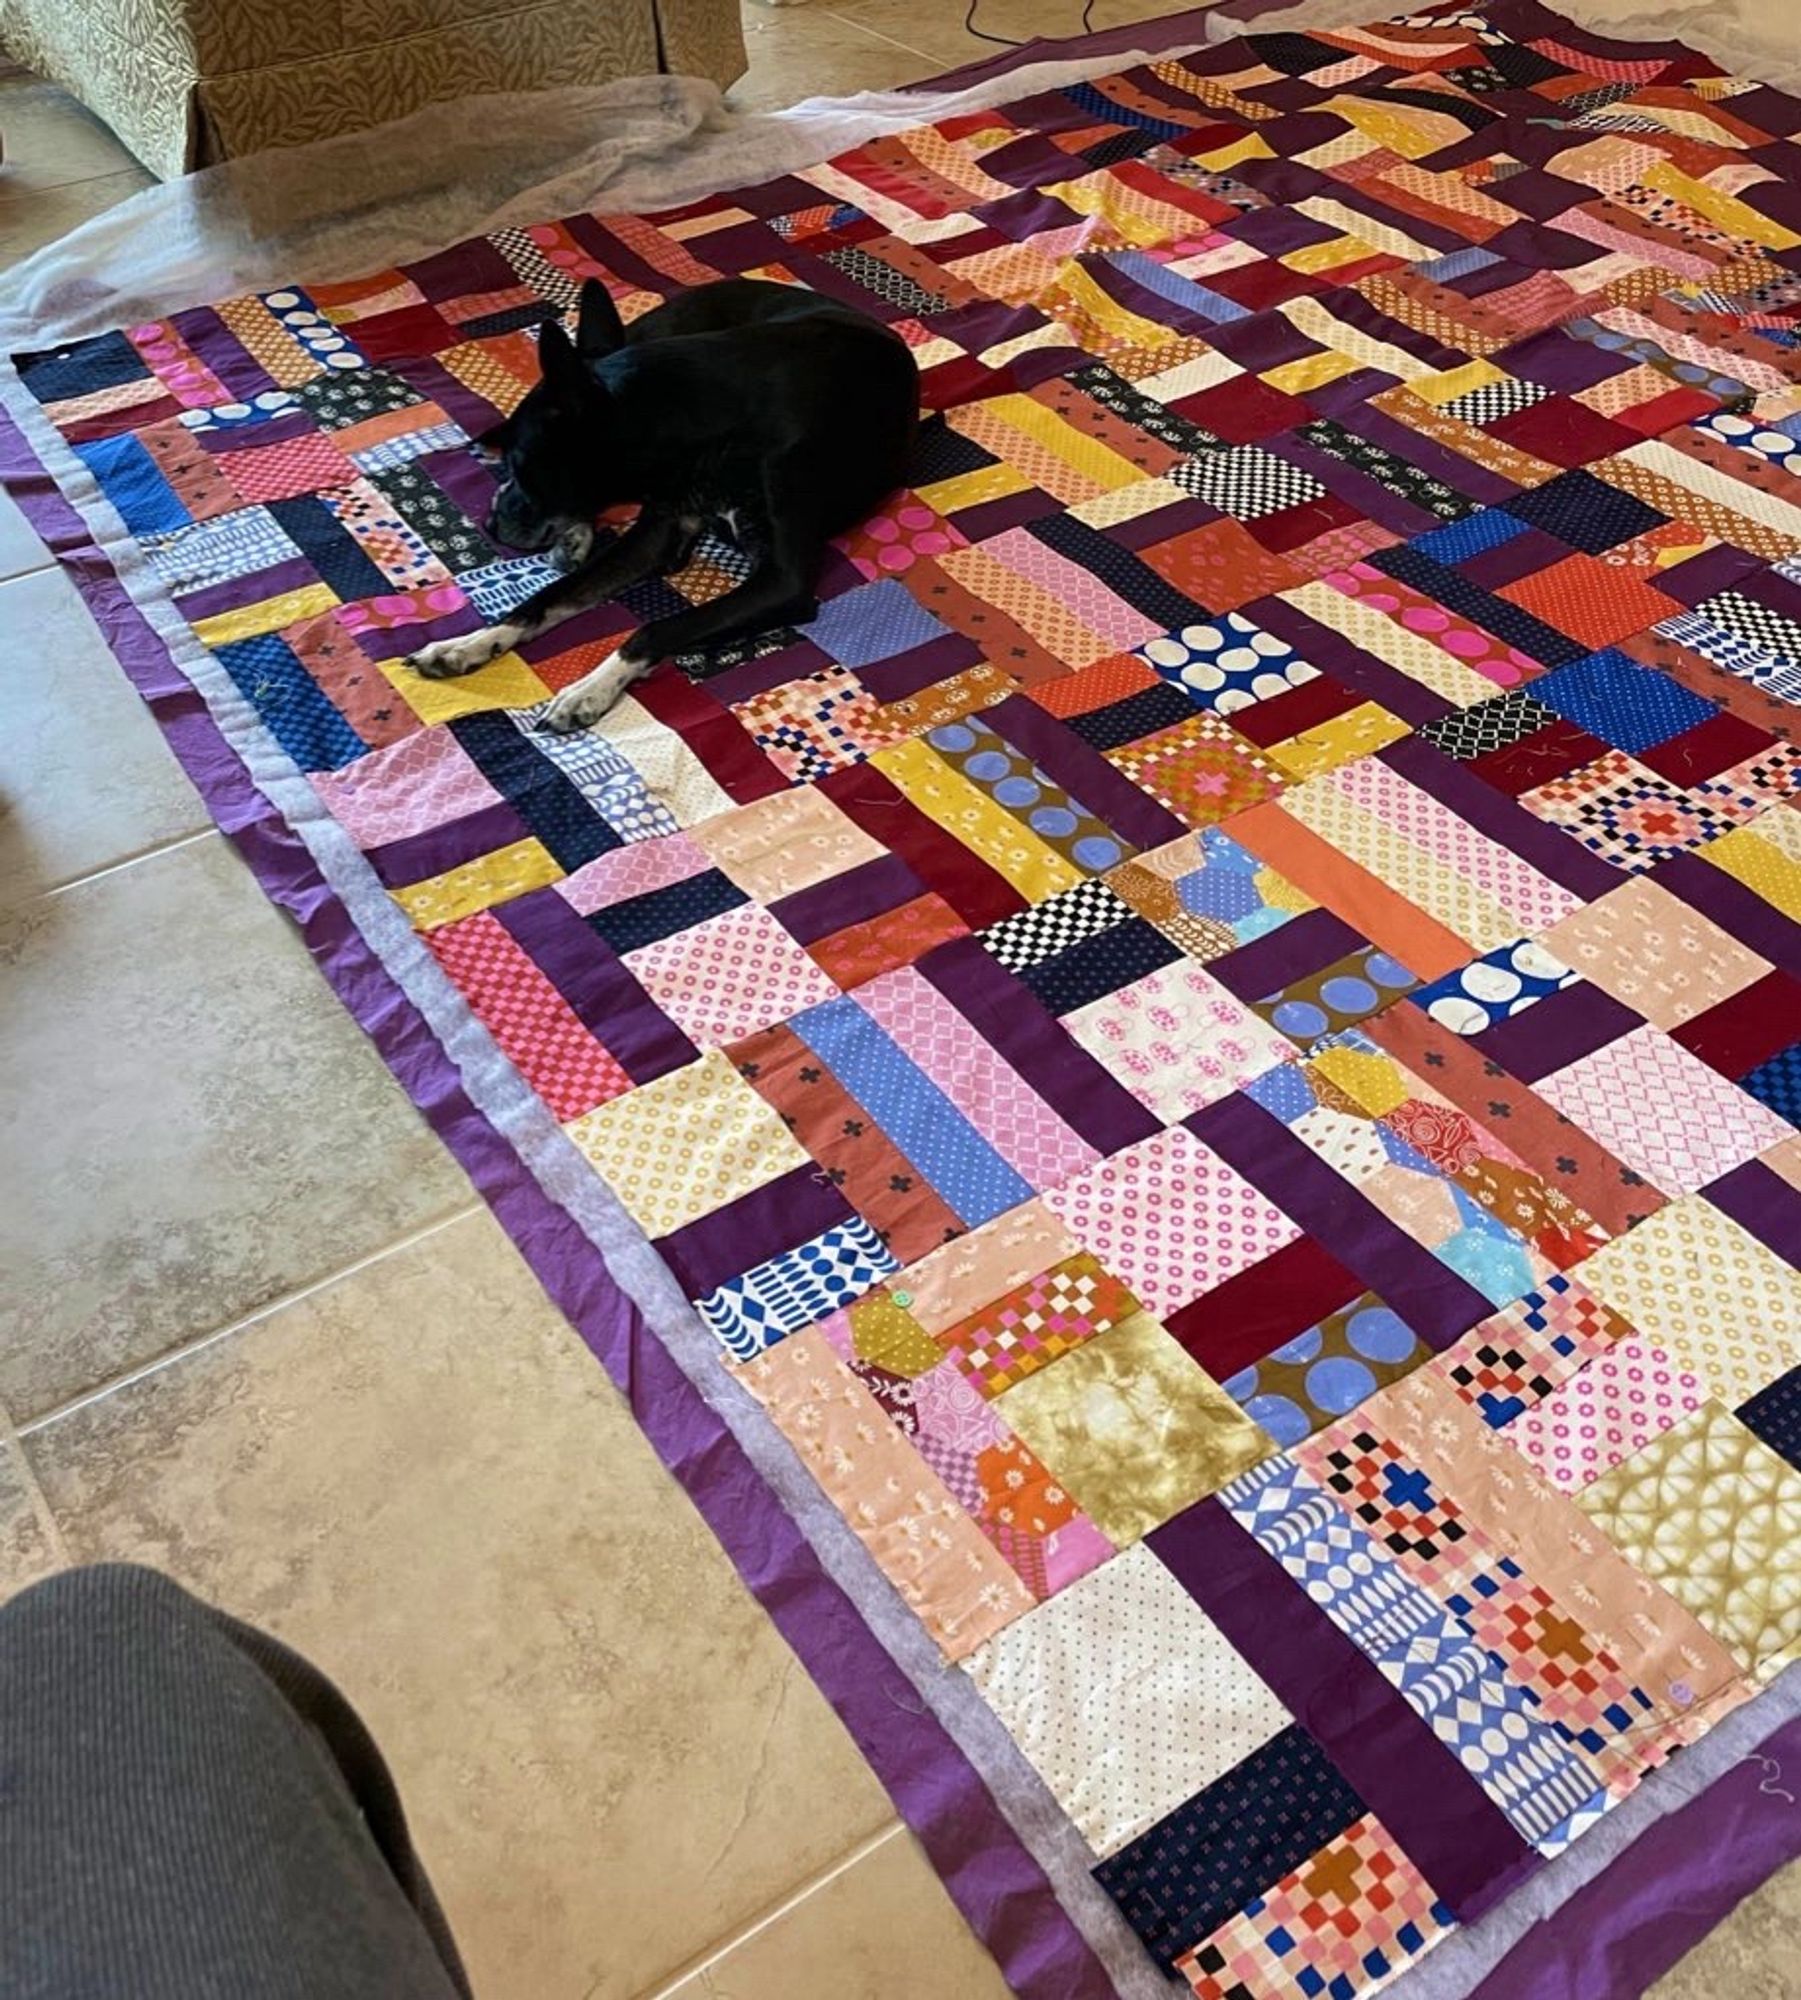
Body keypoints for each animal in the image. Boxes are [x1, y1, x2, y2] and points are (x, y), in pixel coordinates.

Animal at [404, 270, 916, 732]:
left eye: (521, 463)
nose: (491, 524)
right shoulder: (657, 528)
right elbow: (549, 596)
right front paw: (469, 643)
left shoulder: (782, 579)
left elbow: (657, 626)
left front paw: (589, 690)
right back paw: (573, 540)